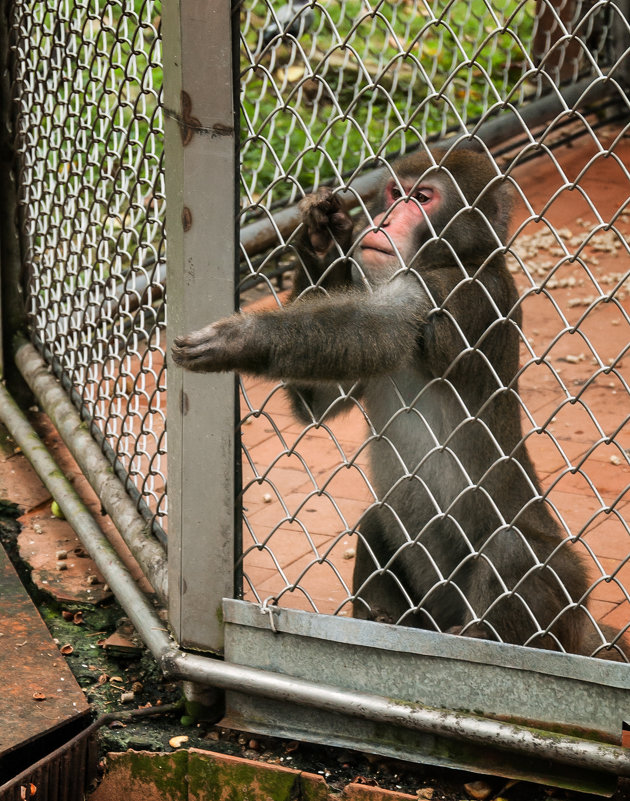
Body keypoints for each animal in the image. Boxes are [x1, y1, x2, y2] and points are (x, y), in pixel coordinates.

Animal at [170, 144, 628, 664]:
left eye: (422, 198)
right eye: (394, 193)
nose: (385, 220)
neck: (459, 257)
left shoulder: (464, 294)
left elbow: (381, 326)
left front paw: (240, 337)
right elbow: (318, 404)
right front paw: (322, 239)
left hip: (563, 608)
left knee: (513, 547)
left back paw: (479, 635)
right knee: (378, 518)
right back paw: (387, 621)